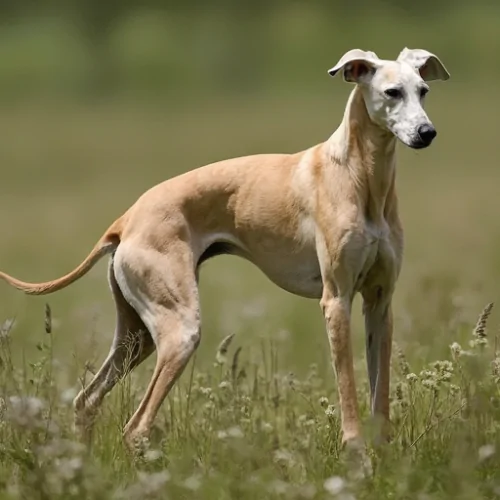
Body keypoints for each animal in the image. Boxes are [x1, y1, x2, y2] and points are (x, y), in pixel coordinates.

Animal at [0, 48, 450, 452]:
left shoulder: (379, 303)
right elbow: (349, 391)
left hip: (136, 336)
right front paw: (357, 456)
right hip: (179, 330)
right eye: (392, 92)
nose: (427, 133)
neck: (360, 177)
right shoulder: (336, 301)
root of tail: (125, 221)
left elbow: (380, 394)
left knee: (86, 400)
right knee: (135, 427)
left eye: (423, 90)